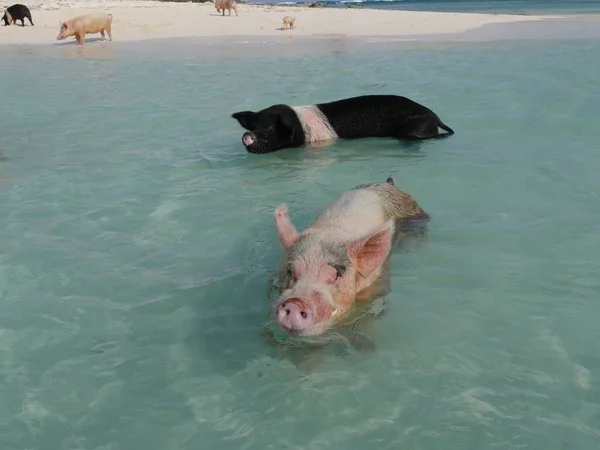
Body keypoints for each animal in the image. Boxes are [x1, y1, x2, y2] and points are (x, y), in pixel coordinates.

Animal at [231, 94, 454, 154]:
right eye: (252, 127)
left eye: (270, 128)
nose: (247, 136)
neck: (300, 127)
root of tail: (435, 116)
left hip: (415, 128)